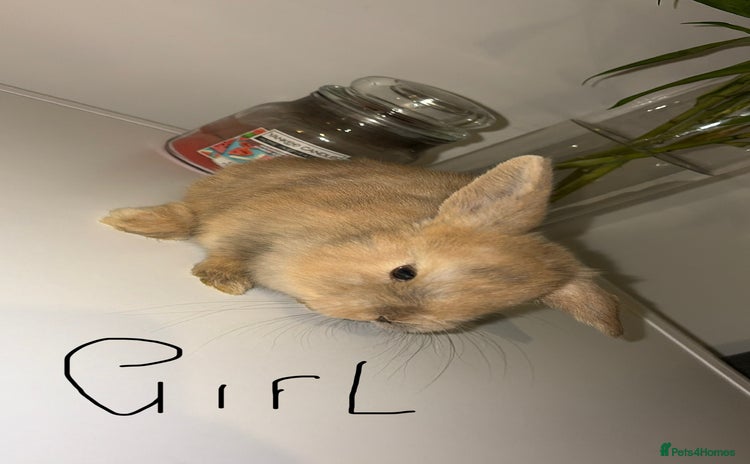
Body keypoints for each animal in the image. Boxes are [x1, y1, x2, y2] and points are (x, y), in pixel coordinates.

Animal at [100, 155, 623, 337]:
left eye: (476, 316)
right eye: (403, 272)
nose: (384, 319)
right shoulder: (249, 223)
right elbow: (207, 233)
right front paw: (223, 281)